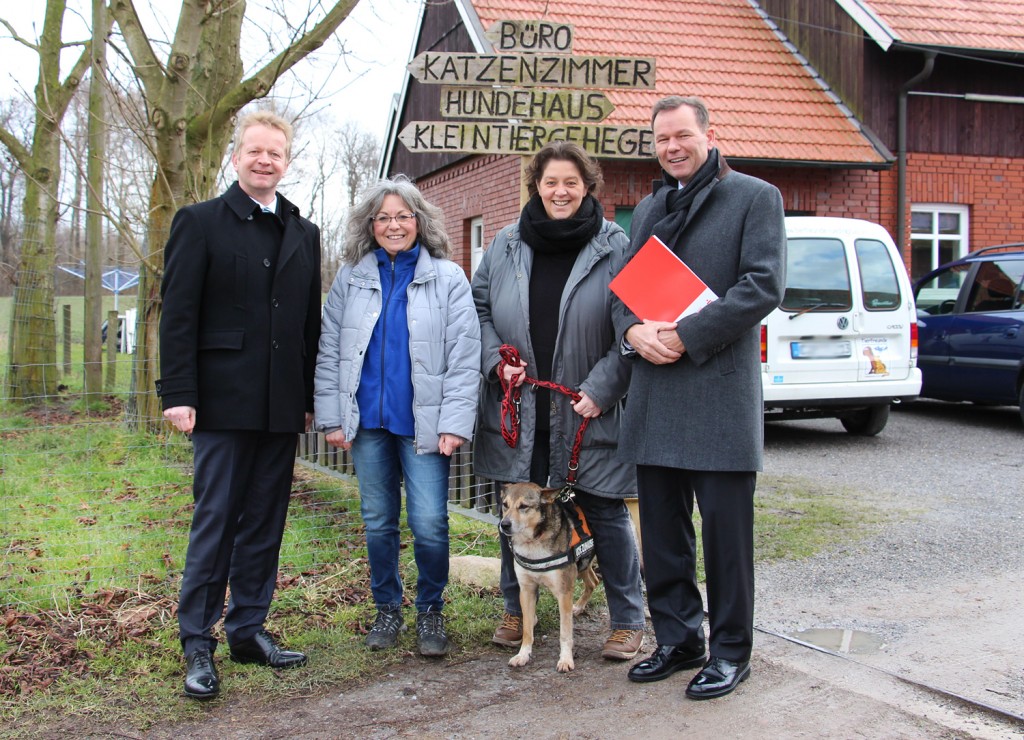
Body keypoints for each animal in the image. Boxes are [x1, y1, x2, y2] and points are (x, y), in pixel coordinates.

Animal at [497, 483, 598, 675]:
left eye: (523, 506)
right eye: (505, 505)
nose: (504, 524)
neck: (533, 542)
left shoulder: (564, 592)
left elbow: (565, 633)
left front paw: (565, 659)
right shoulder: (527, 590)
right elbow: (527, 630)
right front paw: (523, 655)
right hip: (581, 565)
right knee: (594, 581)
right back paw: (579, 607)